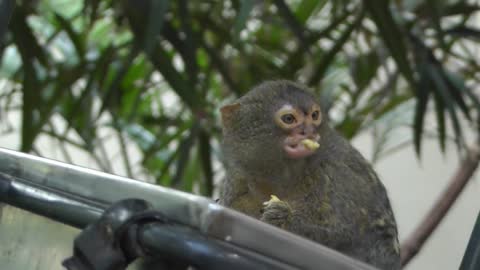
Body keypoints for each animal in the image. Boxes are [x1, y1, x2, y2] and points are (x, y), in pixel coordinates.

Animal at [219, 80, 400, 270]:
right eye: (289, 119)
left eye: (314, 116)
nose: (309, 131)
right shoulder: (237, 177)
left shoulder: (331, 174)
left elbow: (341, 235)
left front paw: (282, 219)